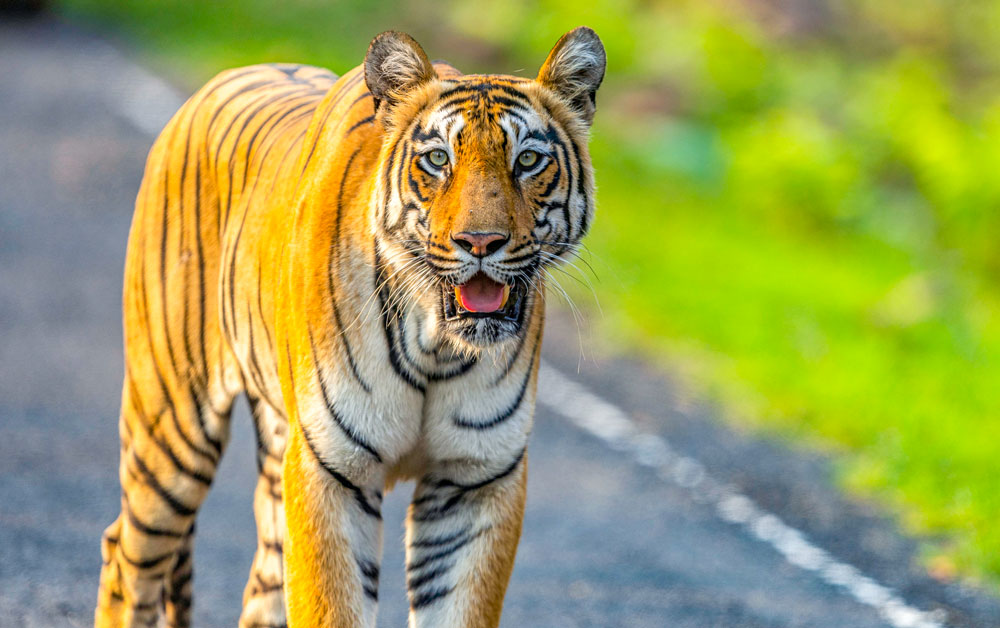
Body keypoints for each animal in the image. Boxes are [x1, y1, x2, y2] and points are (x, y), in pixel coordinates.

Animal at [94, 26, 605, 628]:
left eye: (527, 160)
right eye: (438, 159)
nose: (479, 242)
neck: (436, 345)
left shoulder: (475, 477)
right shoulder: (329, 469)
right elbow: (329, 606)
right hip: (171, 428)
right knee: (126, 560)